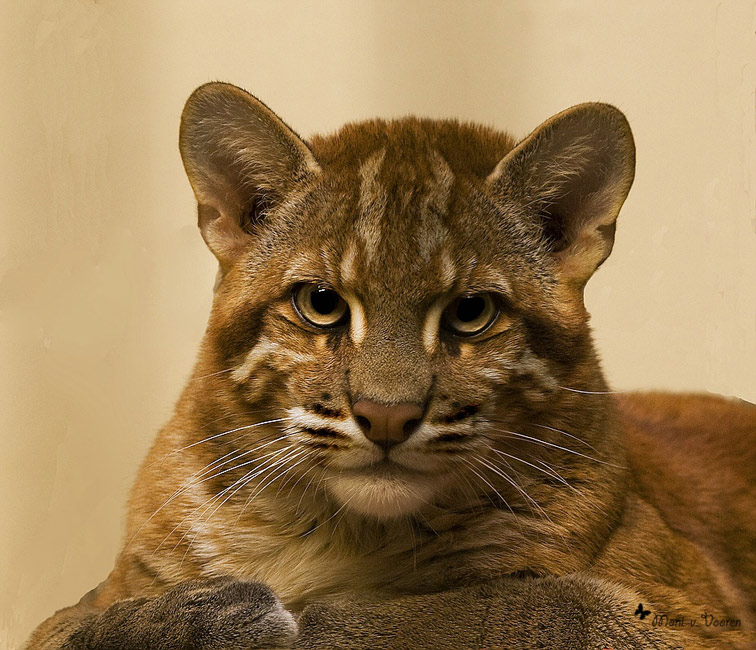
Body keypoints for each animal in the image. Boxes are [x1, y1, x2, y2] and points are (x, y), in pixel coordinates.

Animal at [25, 82, 756, 648]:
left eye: (471, 313)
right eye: (321, 305)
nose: (385, 417)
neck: (326, 530)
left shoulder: (688, 616)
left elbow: (464, 610)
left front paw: (277, 614)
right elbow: (66, 624)